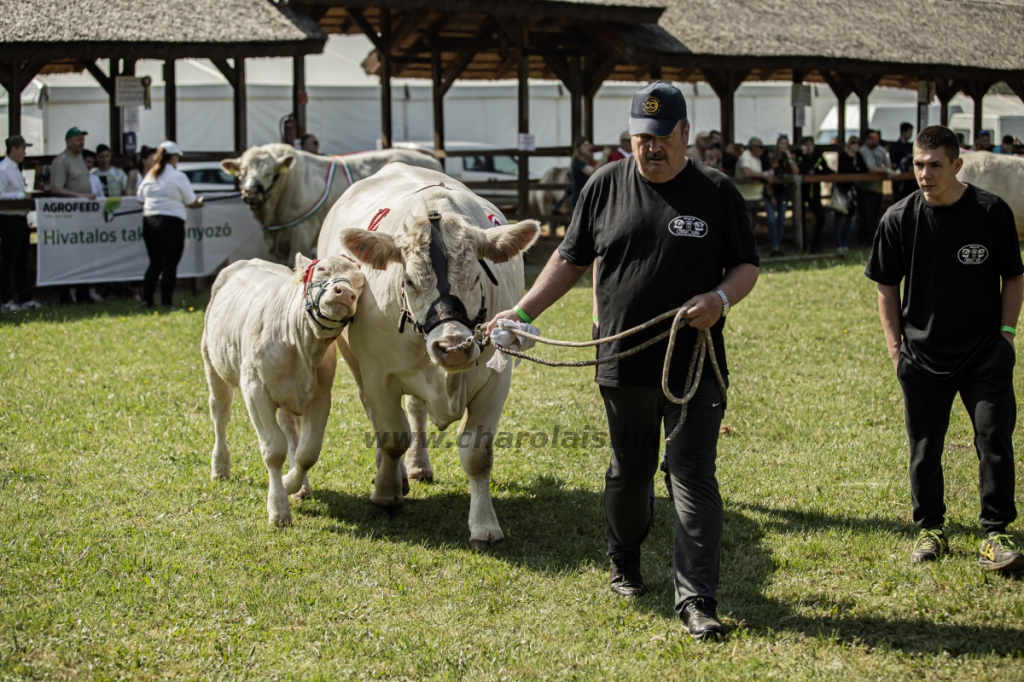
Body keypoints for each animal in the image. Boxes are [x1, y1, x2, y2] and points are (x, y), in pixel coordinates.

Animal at [199, 251, 364, 522]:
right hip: (213, 365)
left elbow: (308, 452)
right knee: (220, 413)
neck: (301, 344)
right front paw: (278, 508)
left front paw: (289, 483)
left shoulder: (320, 396)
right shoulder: (255, 389)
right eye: (323, 270)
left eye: (360, 283)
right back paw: (220, 467)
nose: (345, 292)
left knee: (290, 431)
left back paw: (301, 487)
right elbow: (273, 449)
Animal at [317, 160, 544, 548]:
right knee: (379, 418)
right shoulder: (378, 374)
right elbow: (392, 435)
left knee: (415, 410)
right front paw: (386, 494)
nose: (453, 347)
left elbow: (477, 454)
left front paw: (484, 526)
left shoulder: (496, 381)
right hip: (357, 367)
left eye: (476, 278)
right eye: (408, 280)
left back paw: (418, 465)